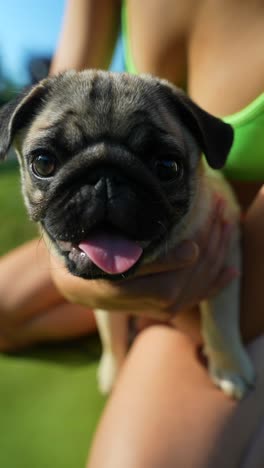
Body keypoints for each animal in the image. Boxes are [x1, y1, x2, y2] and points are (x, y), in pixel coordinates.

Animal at [0, 69, 256, 398]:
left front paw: (230, 367)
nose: (105, 178)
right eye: (44, 163)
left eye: (168, 167)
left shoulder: (226, 256)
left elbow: (220, 319)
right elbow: (111, 333)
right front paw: (114, 371)